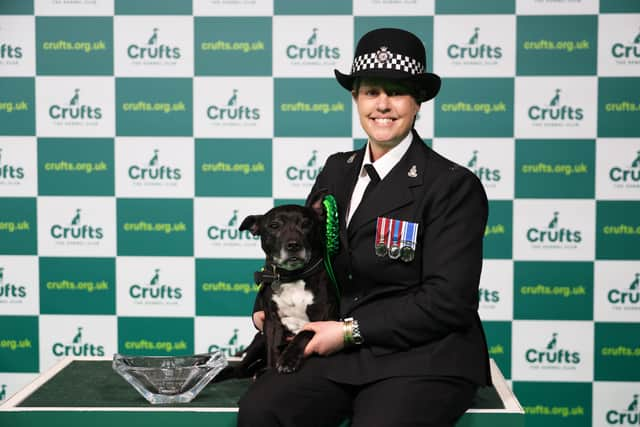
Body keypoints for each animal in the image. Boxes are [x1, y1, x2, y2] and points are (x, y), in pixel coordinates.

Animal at [238, 196, 340, 374]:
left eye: (306, 224)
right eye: (274, 225)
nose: (293, 245)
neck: (293, 277)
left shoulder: (323, 317)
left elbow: (304, 333)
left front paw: (288, 359)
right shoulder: (272, 322)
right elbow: (272, 350)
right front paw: (271, 369)